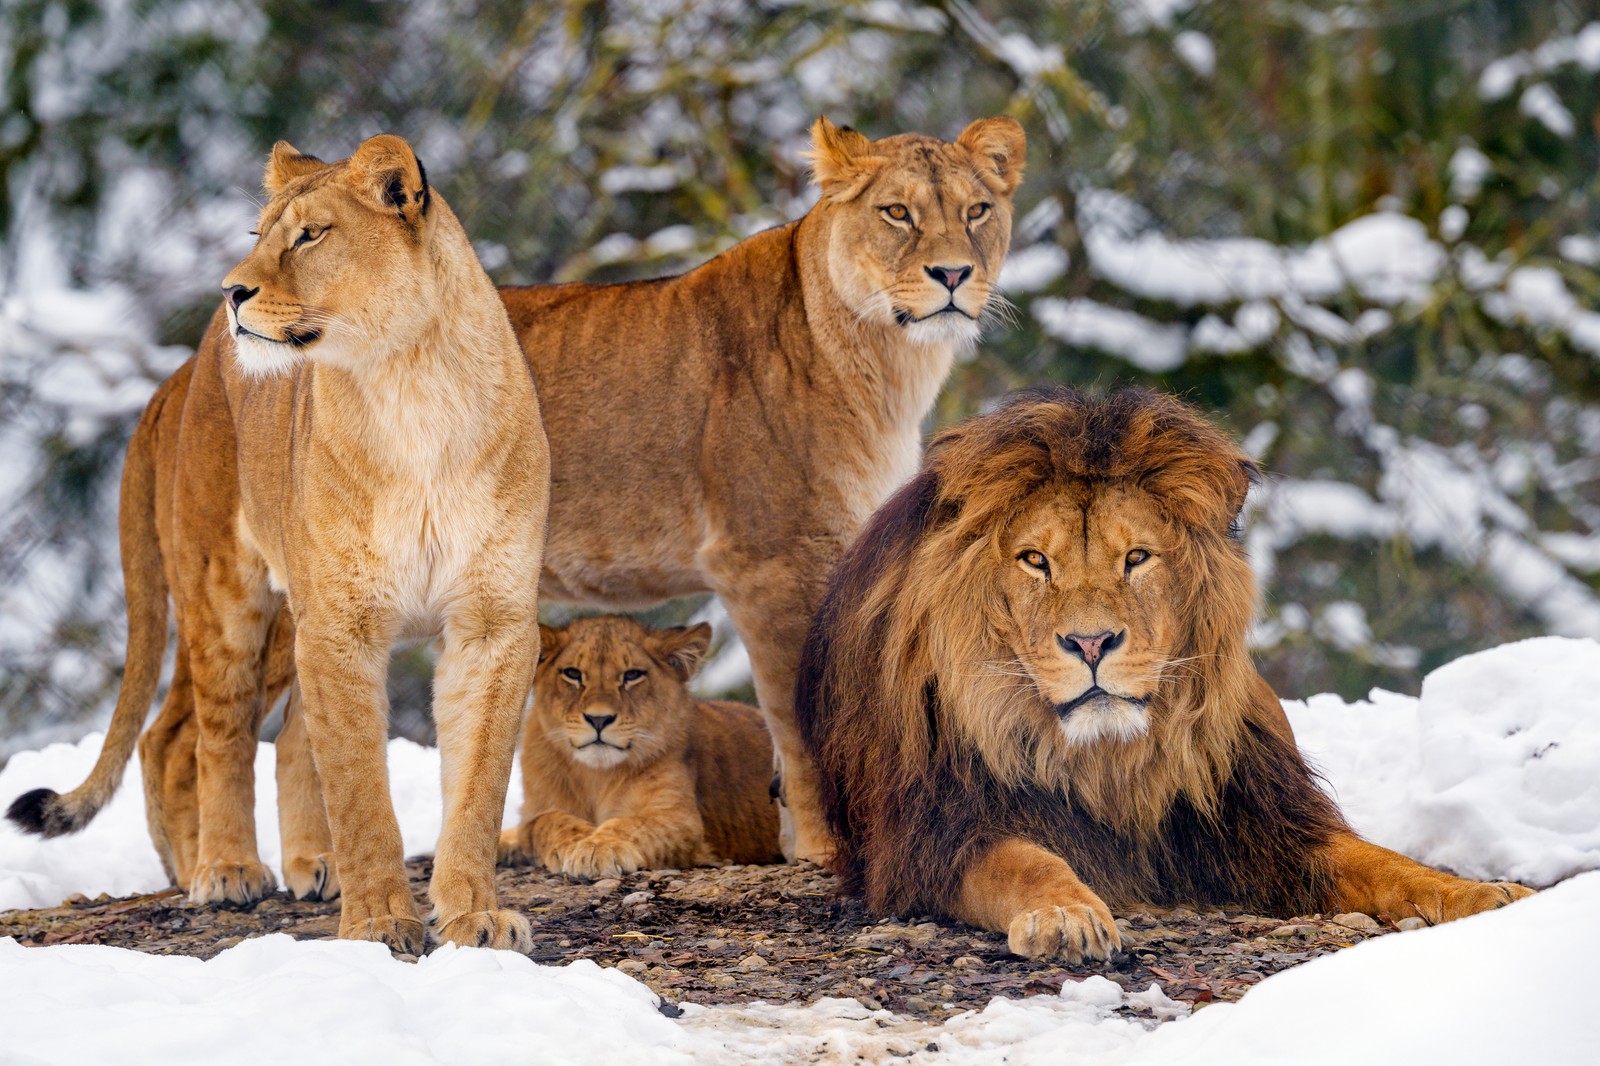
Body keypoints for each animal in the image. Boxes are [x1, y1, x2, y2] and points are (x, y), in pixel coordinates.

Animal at [7, 132, 550, 947]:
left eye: (310, 235)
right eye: (259, 235)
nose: (230, 292)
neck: (412, 387)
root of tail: (180, 374)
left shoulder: (491, 623)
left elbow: (477, 785)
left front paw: (474, 917)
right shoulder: (342, 622)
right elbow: (359, 786)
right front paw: (379, 922)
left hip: (295, 617)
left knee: (287, 736)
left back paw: (310, 863)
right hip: (227, 598)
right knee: (208, 736)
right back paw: (225, 870)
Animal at [496, 611, 777, 877]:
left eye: (632, 675)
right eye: (572, 674)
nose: (599, 719)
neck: (596, 777)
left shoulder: (680, 818)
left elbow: (634, 825)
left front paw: (599, 847)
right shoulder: (535, 810)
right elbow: (543, 822)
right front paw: (576, 841)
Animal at [800, 385, 1536, 960]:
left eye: (1138, 558)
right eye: (1035, 560)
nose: (1091, 641)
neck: (1104, 761)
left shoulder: (1264, 821)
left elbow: (1388, 863)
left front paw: (1482, 892)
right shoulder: (935, 836)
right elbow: (1022, 861)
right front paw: (1067, 914)